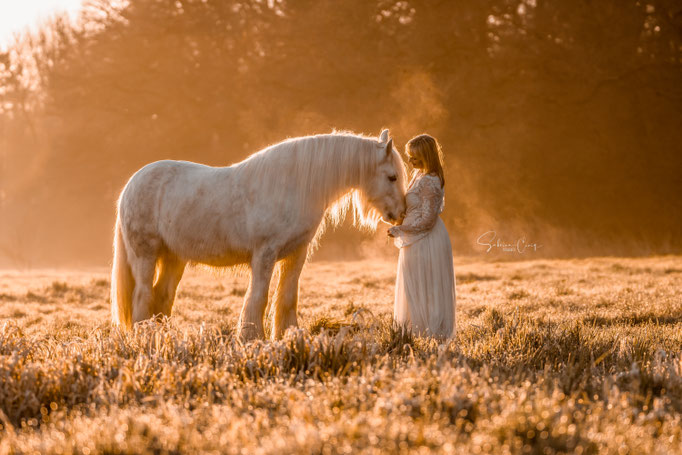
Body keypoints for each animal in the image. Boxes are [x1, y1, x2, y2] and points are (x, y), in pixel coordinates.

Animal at [111, 130, 404, 340]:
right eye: (391, 177)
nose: (399, 214)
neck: (292, 185)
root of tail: (130, 185)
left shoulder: (296, 253)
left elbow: (287, 297)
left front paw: (287, 335)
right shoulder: (265, 254)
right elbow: (259, 298)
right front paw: (252, 337)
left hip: (173, 258)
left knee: (162, 296)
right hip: (146, 256)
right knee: (143, 296)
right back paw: (144, 337)